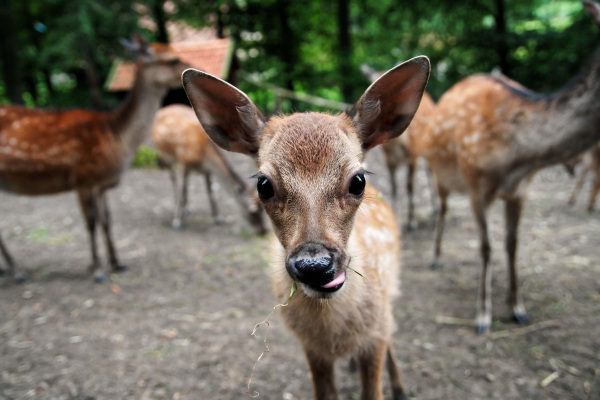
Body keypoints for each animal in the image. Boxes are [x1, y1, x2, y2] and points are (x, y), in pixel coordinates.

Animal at [0, 36, 188, 282]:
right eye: (172, 59)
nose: (192, 66)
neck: (116, 138)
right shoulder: (83, 178)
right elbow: (91, 223)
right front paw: (97, 269)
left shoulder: (101, 184)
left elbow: (106, 219)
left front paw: (117, 263)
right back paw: (17, 271)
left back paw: (9, 268)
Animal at [150, 104, 264, 233]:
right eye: (252, 212)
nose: (262, 231)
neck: (204, 154)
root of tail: (162, 109)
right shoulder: (183, 162)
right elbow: (182, 189)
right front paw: (177, 221)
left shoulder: (206, 170)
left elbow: (210, 191)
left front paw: (218, 218)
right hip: (164, 155)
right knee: (174, 180)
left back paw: (187, 209)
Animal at [360, 63, 436, 230]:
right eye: (370, 80)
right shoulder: (389, 161)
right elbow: (394, 188)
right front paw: (397, 219)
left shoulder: (413, 155)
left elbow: (409, 186)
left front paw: (412, 221)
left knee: (430, 171)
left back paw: (435, 207)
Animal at [424, 0, 600, 332]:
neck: (517, 159)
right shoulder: (475, 186)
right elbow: (486, 247)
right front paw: (483, 315)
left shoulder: (521, 190)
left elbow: (512, 244)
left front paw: (517, 307)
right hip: (440, 172)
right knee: (441, 208)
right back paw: (435, 257)